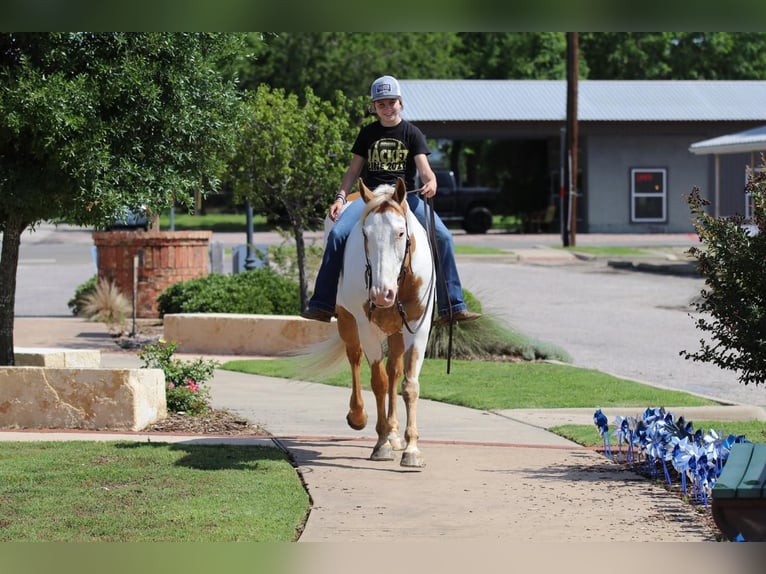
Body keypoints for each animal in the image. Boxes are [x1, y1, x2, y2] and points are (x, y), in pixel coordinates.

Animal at [332, 178, 436, 470]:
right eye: (365, 235)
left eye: (400, 233)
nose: (381, 295)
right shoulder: (366, 327)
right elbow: (377, 381)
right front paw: (380, 445)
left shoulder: (418, 326)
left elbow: (409, 384)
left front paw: (411, 449)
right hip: (347, 321)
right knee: (355, 358)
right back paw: (360, 417)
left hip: (397, 332)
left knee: (394, 372)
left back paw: (394, 433)